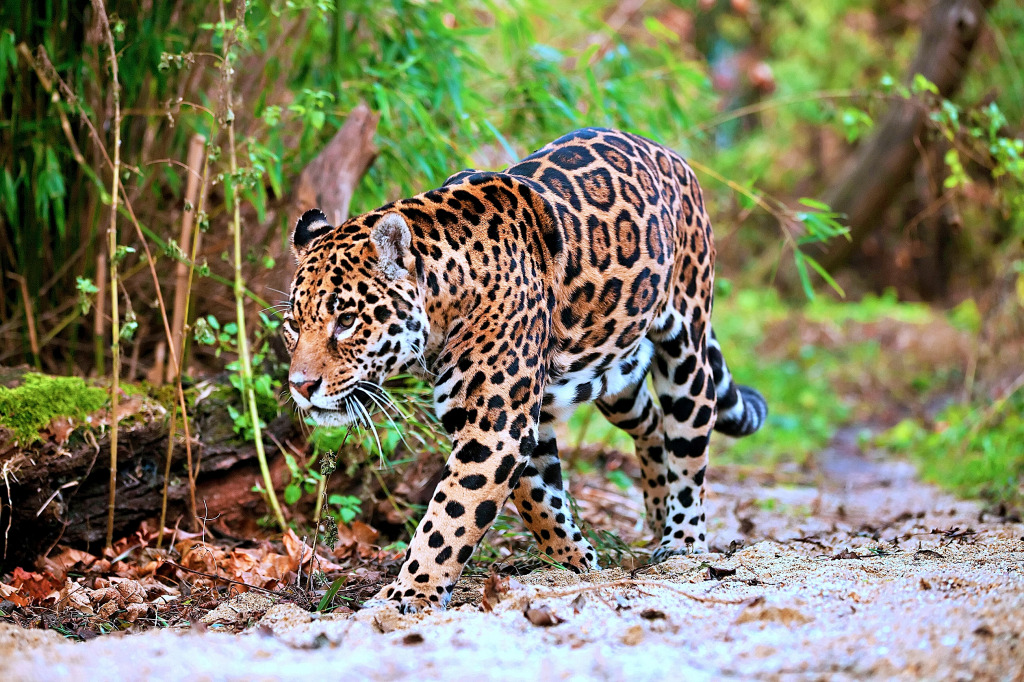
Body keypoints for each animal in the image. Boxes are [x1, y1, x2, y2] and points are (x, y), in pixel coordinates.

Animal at [282, 127, 767, 613]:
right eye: (293, 325)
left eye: (347, 320)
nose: (301, 386)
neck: (445, 300)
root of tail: (668, 153)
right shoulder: (516, 419)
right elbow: (538, 498)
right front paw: (574, 562)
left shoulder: (495, 427)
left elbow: (449, 518)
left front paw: (410, 592)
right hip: (617, 373)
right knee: (649, 422)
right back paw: (655, 507)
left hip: (686, 347)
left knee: (690, 443)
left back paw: (681, 541)